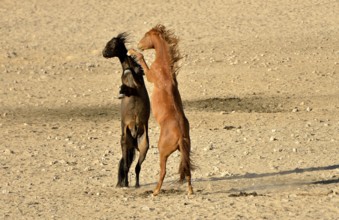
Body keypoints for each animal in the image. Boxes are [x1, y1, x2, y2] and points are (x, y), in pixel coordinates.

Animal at [103, 32, 151, 187]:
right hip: (125, 143)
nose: (104, 53)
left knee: (136, 167)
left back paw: (135, 184)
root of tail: (135, 135)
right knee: (126, 165)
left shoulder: (139, 83)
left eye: (111, 44)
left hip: (143, 147)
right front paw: (121, 92)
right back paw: (125, 184)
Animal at [129, 24, 194, 195]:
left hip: (162, 152)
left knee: (163, 172)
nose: (139, 44)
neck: (164, 68)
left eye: (146, 35)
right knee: (187, 171)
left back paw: (155, 191)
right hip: (184, 151)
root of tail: (180, 136)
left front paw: (131, 51)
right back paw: (190, 190)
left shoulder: (150, 75)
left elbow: (142, 60)